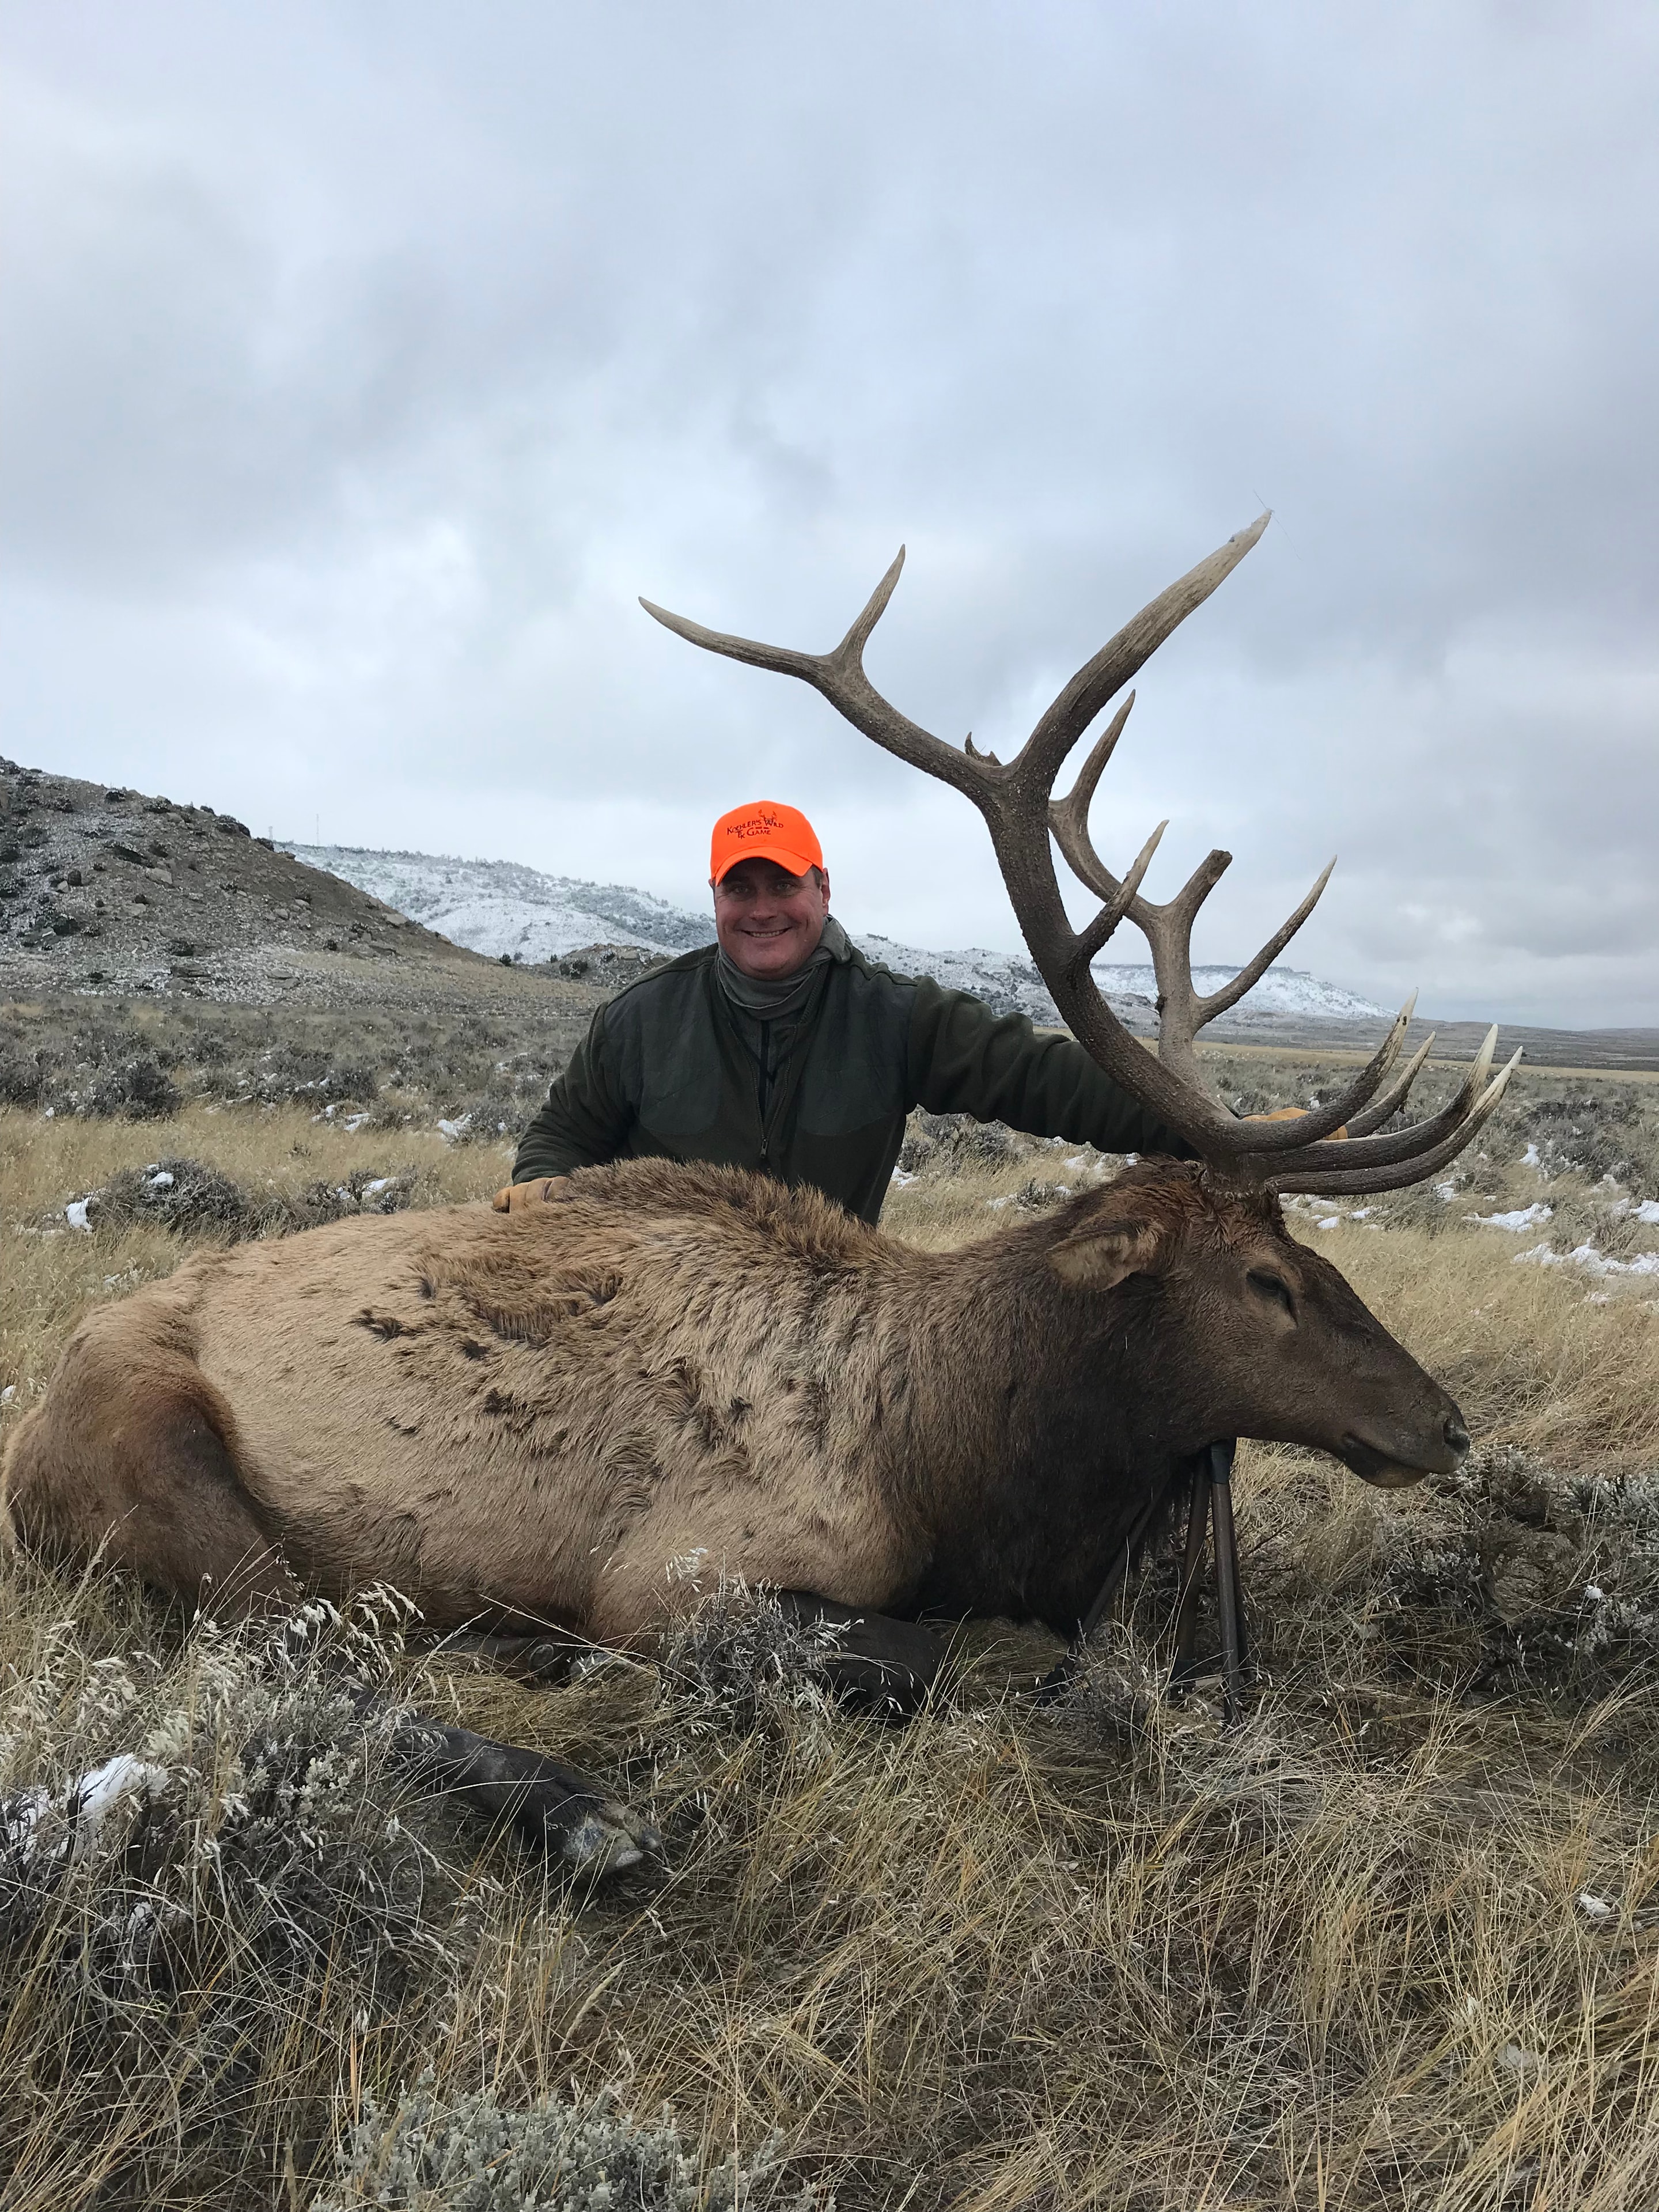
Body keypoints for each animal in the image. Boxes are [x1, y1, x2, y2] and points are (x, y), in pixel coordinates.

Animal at [2, 516, 1517, 1873]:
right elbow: (995, 1653)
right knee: (301, 1663)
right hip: (165, 1449)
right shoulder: (672, 1578)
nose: (1442, 1425)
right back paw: (583, 1813)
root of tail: (22, 1444)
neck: (954, 1451)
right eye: (1266, 1281)